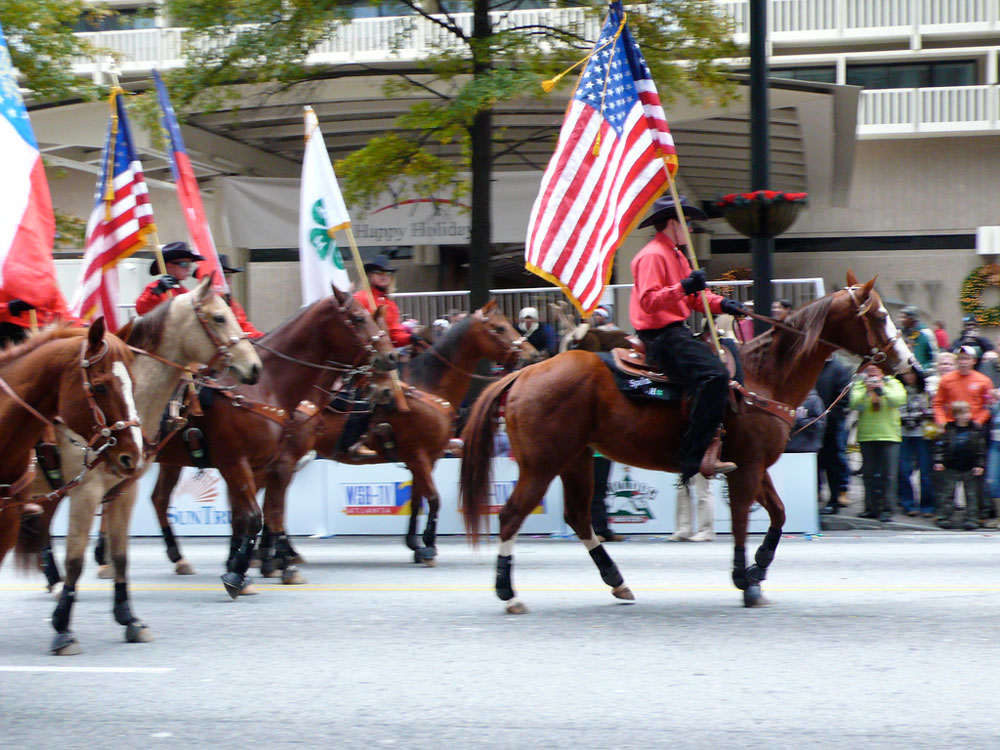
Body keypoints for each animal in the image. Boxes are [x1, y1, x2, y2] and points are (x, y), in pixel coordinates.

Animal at [146, 290, 396, 600]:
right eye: (359, 318)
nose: (391, 358)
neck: (267, 388)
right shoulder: (249, 463)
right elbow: (258, 515)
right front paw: (249, 568)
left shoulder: (266, 465)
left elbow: (262, 514)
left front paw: (262, 562)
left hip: (168, 461)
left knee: (157, 498)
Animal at [458, 274, 916, 612]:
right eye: (878, 316)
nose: (910, 364)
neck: (763, 377)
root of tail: (523, 374)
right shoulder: (747, 469)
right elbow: (740, 522)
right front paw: (745, 581)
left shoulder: (755, 465)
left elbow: (779, 516)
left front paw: (757, 571)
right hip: (542, 464)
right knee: (511, 516)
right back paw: (509, 594)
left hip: (577, 460)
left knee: (578, 517)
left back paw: (617, 582)